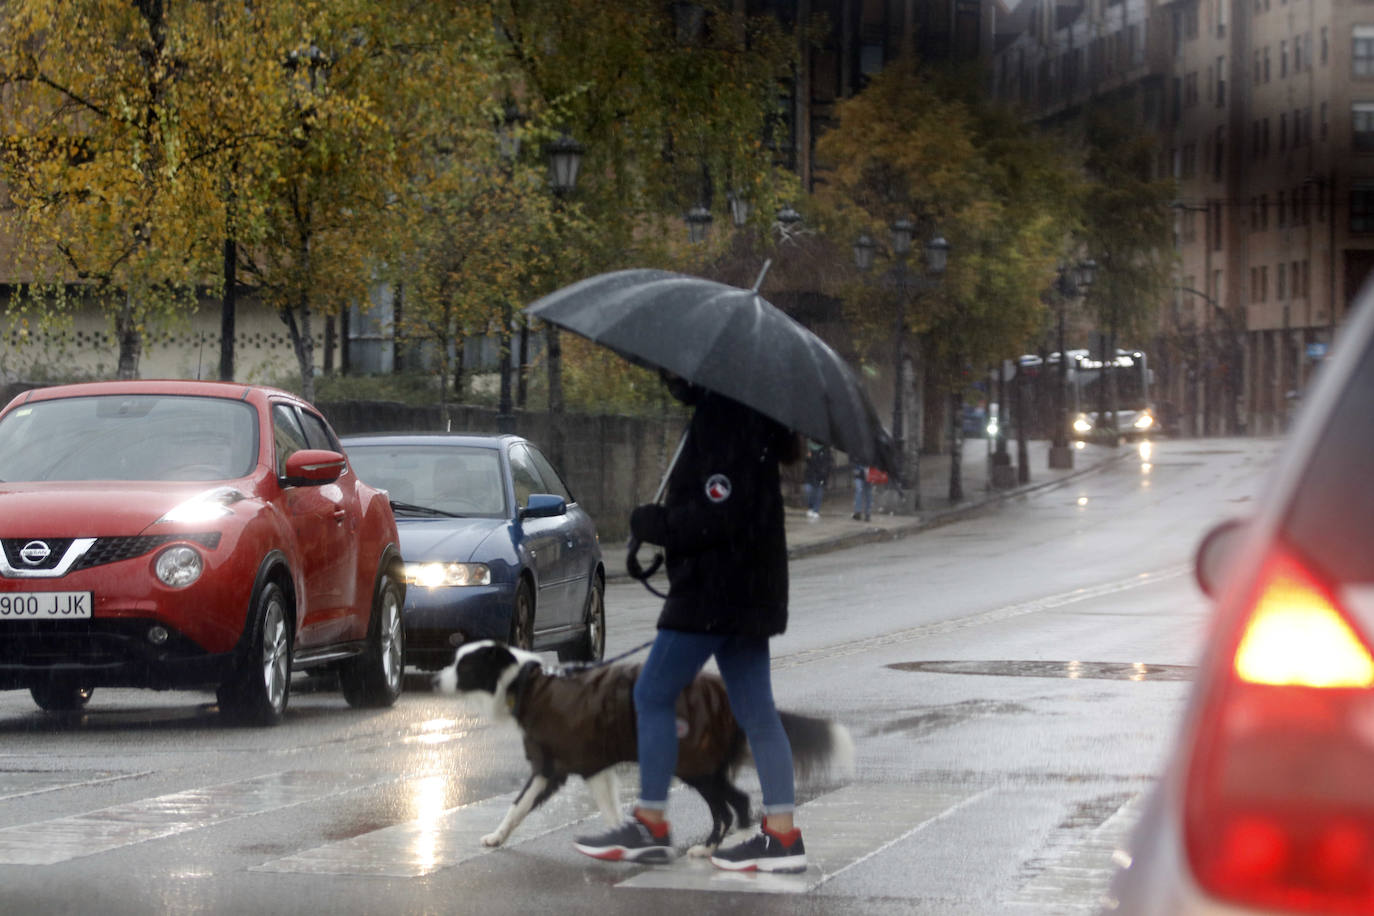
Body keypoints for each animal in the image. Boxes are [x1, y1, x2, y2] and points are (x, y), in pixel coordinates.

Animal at [434, 642, 851, 856]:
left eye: (464, 665)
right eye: (452, 659)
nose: (435, 680)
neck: (528, 682)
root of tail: (724, 692)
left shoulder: (585, 763)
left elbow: (606, 811)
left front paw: (620, 841)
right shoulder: (554, 764)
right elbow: (517, 806)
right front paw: (496, 837)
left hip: (694, 764)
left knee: (724, 808)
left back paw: (708, 847)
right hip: (707, 764)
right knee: (740, 801)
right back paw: (723, 844)